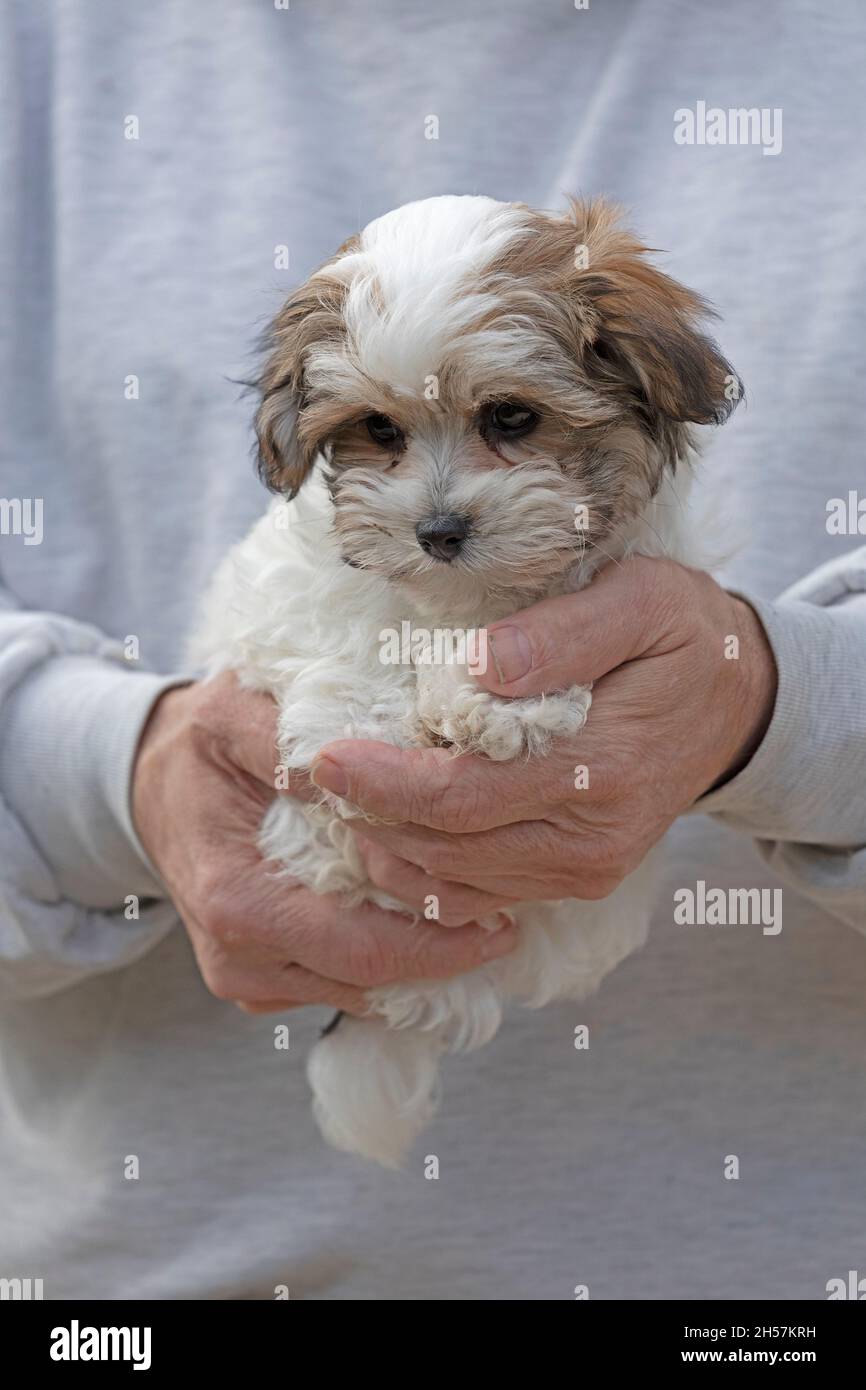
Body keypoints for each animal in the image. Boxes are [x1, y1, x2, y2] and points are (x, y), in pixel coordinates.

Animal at [193, 195, 739, 1167]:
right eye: (380, 430)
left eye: (512, 416)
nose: (439, 530)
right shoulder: (284, 586)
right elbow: (354, 614)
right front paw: (365, 723)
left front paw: (497, 698)